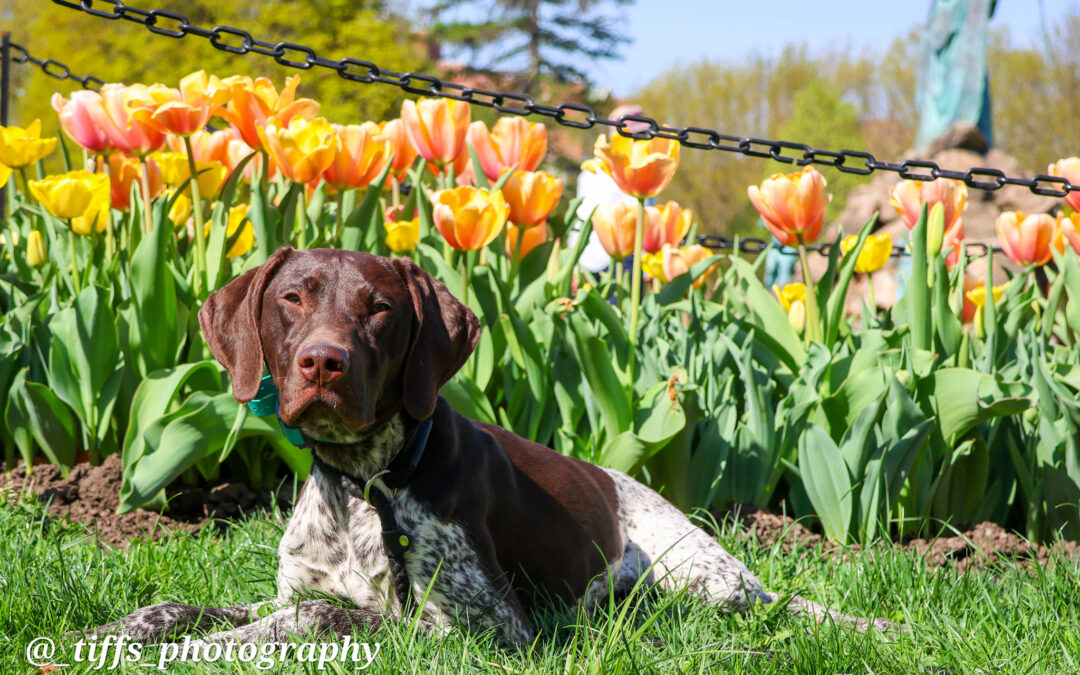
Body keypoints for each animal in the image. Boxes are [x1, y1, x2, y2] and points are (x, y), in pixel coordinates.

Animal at [84, 246, 898, 643]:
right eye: (293, 297)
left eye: (378, 308)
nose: (322, 362)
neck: (364, 485)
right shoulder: (300, 587)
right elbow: (180, 607)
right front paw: (117, 630)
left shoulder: (470, 630)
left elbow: (299, 622)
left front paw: (193, 654)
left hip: (705, 581)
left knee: (764, 605)